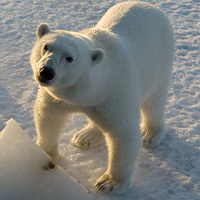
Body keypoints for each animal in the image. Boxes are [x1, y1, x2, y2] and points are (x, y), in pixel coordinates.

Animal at [30, 1, 174, 195]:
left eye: (70, 58)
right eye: (45, 46)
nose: (46, 72)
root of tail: (151, 7)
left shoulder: (115, 93)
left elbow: (124, 133)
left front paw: (109, 183)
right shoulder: (59, 97)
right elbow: (48, 116)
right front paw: (45, 155)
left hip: (161, 61)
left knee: (153, 101)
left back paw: (150, 133)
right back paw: (85, 136)